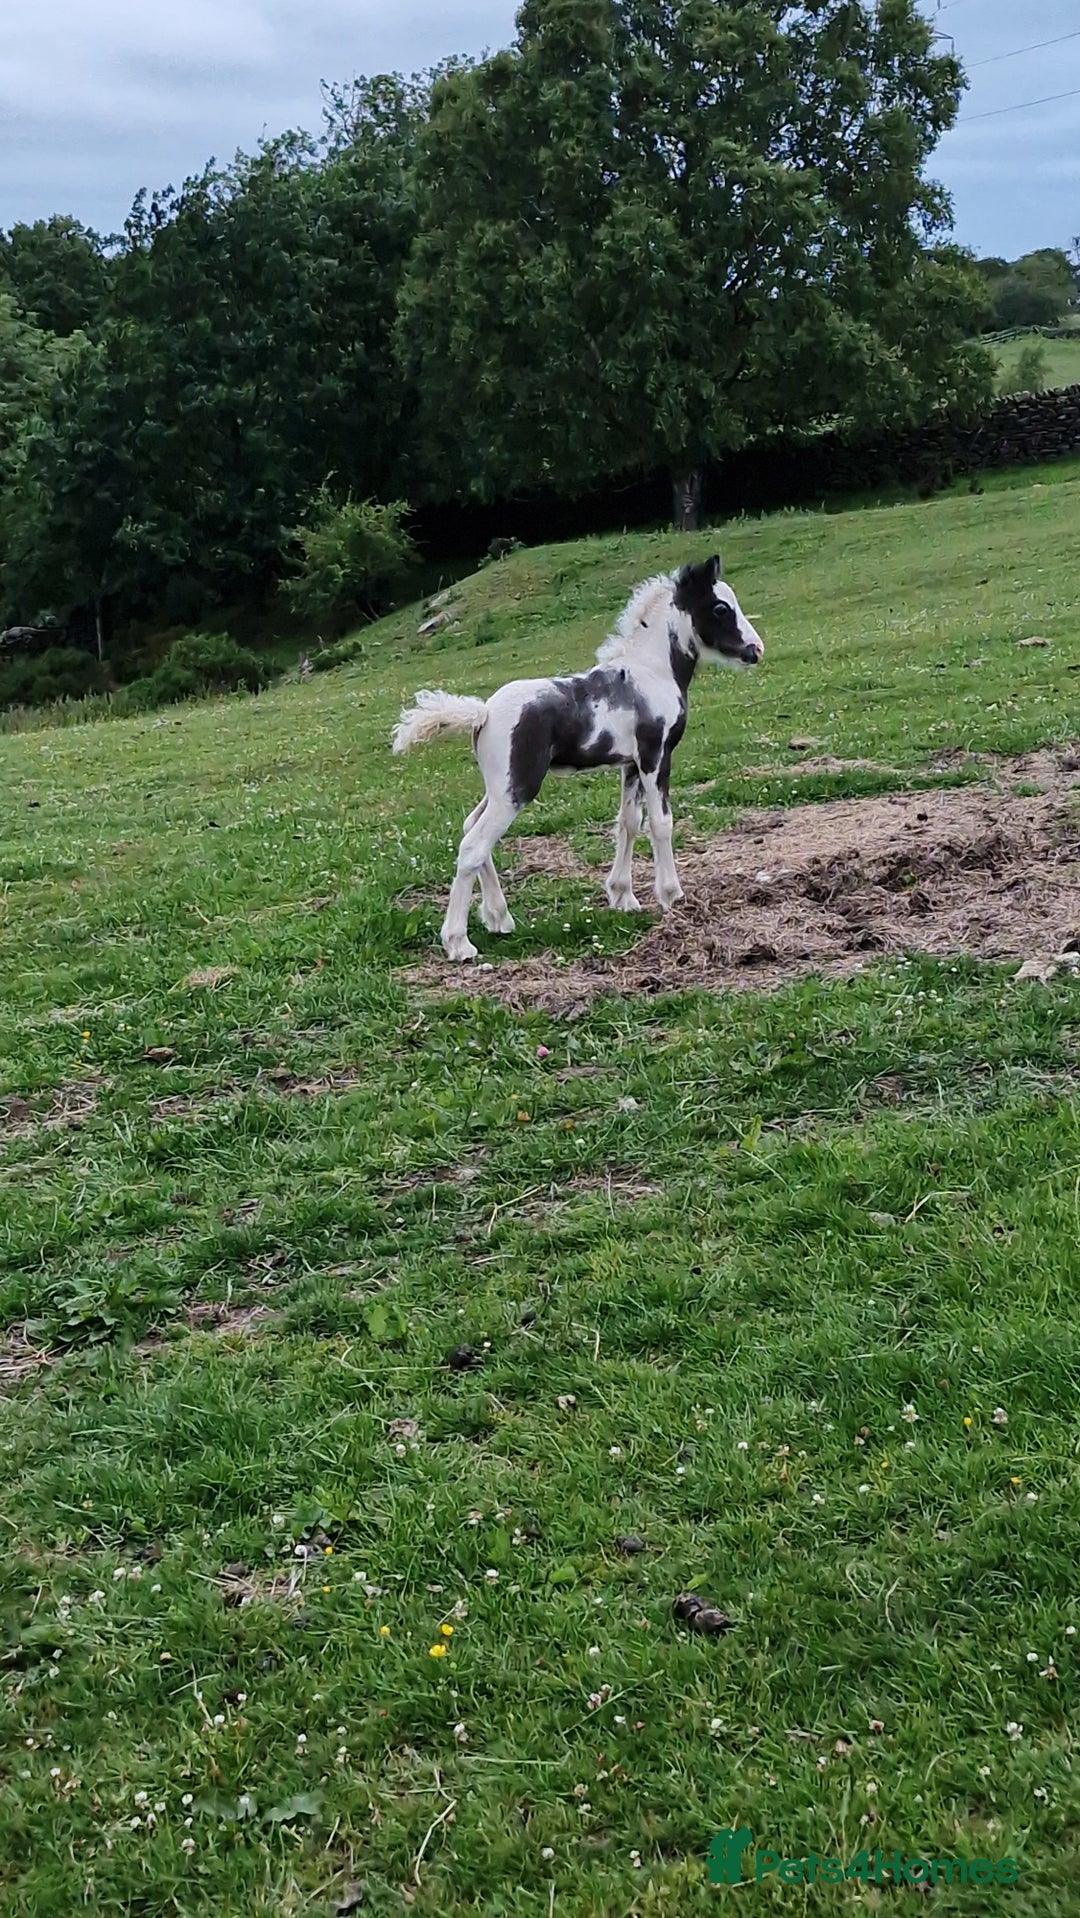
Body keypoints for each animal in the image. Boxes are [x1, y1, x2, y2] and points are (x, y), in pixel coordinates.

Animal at [391, 554, 764, 961]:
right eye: (720, 608)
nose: (756, 649)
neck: (650, 673)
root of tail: (482, 713)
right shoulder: (655, 755)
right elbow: (661, 823)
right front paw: (672, 896)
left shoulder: (630, 764)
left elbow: (629, 822)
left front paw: (622, 896)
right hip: (517, 789)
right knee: (473, 845)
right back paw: (459, 943)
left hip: (499, 787)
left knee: (471, 828)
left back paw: (499, 919)